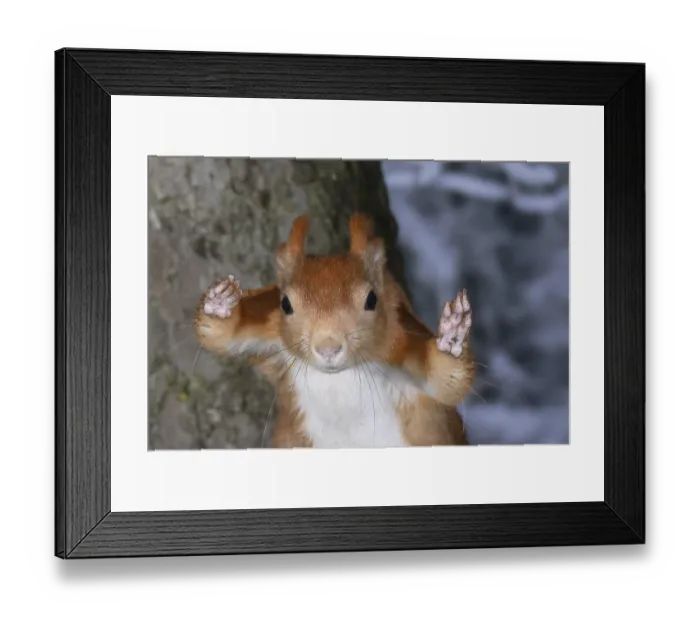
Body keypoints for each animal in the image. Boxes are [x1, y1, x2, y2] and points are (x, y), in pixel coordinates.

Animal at [194, 213, 475, 449]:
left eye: (372, 300)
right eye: (285, 303)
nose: (328, 348)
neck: (339, 377)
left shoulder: (401, 345)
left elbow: (446, 382)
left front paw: (451, 336)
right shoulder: (270, 335)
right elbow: (220, 337)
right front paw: (220, 304)